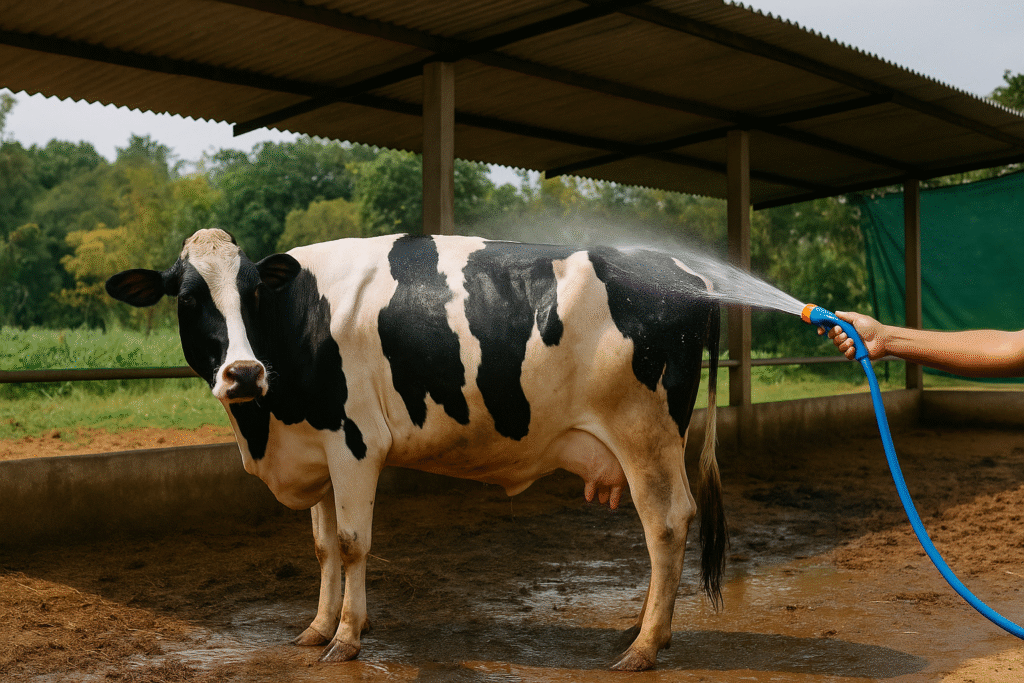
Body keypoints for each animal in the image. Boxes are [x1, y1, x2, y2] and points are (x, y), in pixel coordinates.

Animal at [105, 228, 725, 671]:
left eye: (253, 292)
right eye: (188, 298)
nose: (243, 373)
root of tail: (686, 274)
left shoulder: (354, 442)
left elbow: (352, 543)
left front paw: (347, 639)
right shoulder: (318, 451)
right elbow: (324, 548)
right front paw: (317, 628)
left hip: (644, 432)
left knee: (667, 523)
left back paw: (645, 647)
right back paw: (644, 629)